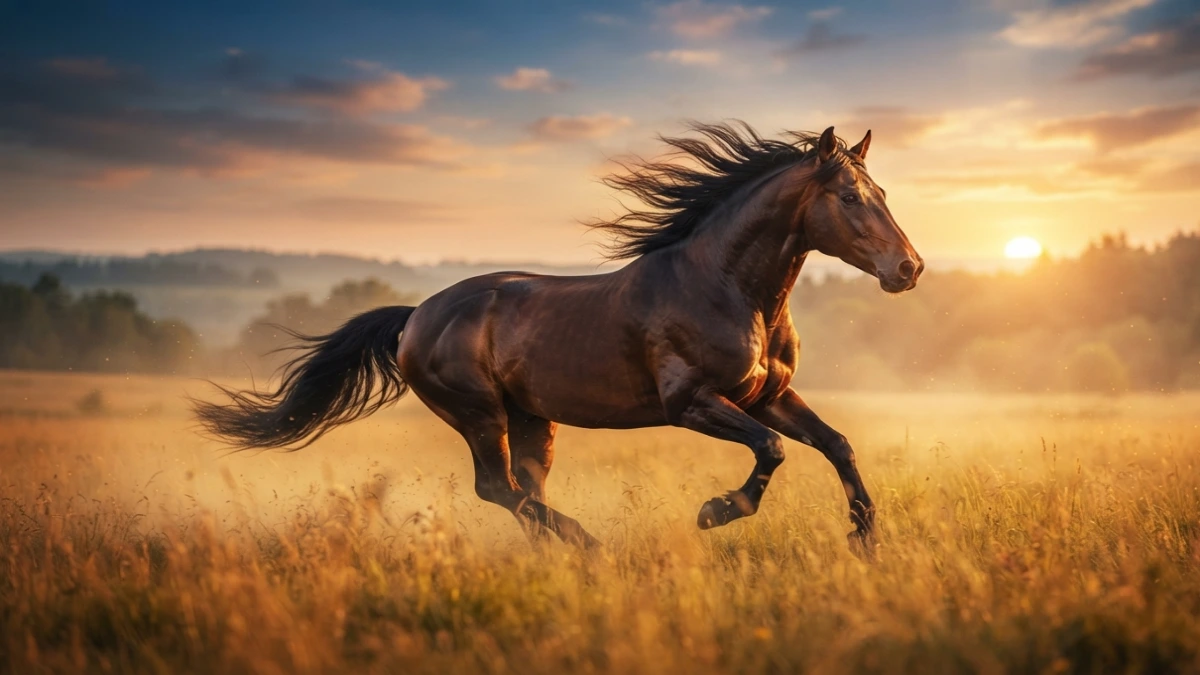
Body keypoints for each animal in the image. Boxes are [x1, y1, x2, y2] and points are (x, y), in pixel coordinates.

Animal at [193, 121, 923, 552]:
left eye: (883, 192)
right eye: (850, 197)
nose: (909, 269)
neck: (728, 287)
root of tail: (416, 314)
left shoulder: (768, 395)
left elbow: (836, 443)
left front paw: (864, 538)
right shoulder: (690, 403)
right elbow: (772, 450)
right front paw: (714, 511)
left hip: (531, 417)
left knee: (525, 490)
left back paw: (564, 553)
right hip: (478, 412)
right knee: (498, 488)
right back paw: (590, 545)